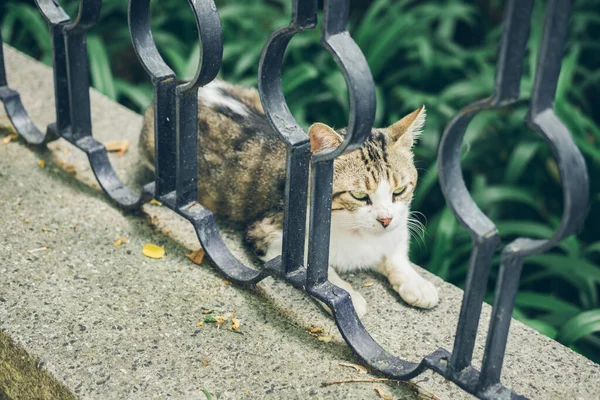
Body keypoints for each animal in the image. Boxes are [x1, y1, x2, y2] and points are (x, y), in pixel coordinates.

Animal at [141, 79, 440, 316]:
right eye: (359, 195)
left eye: (399, 190)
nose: (385, 219)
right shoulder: (268, 233)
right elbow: (314, 272)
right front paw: (349, 296)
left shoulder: (397, 229)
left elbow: (396, 253)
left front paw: (417, 284)